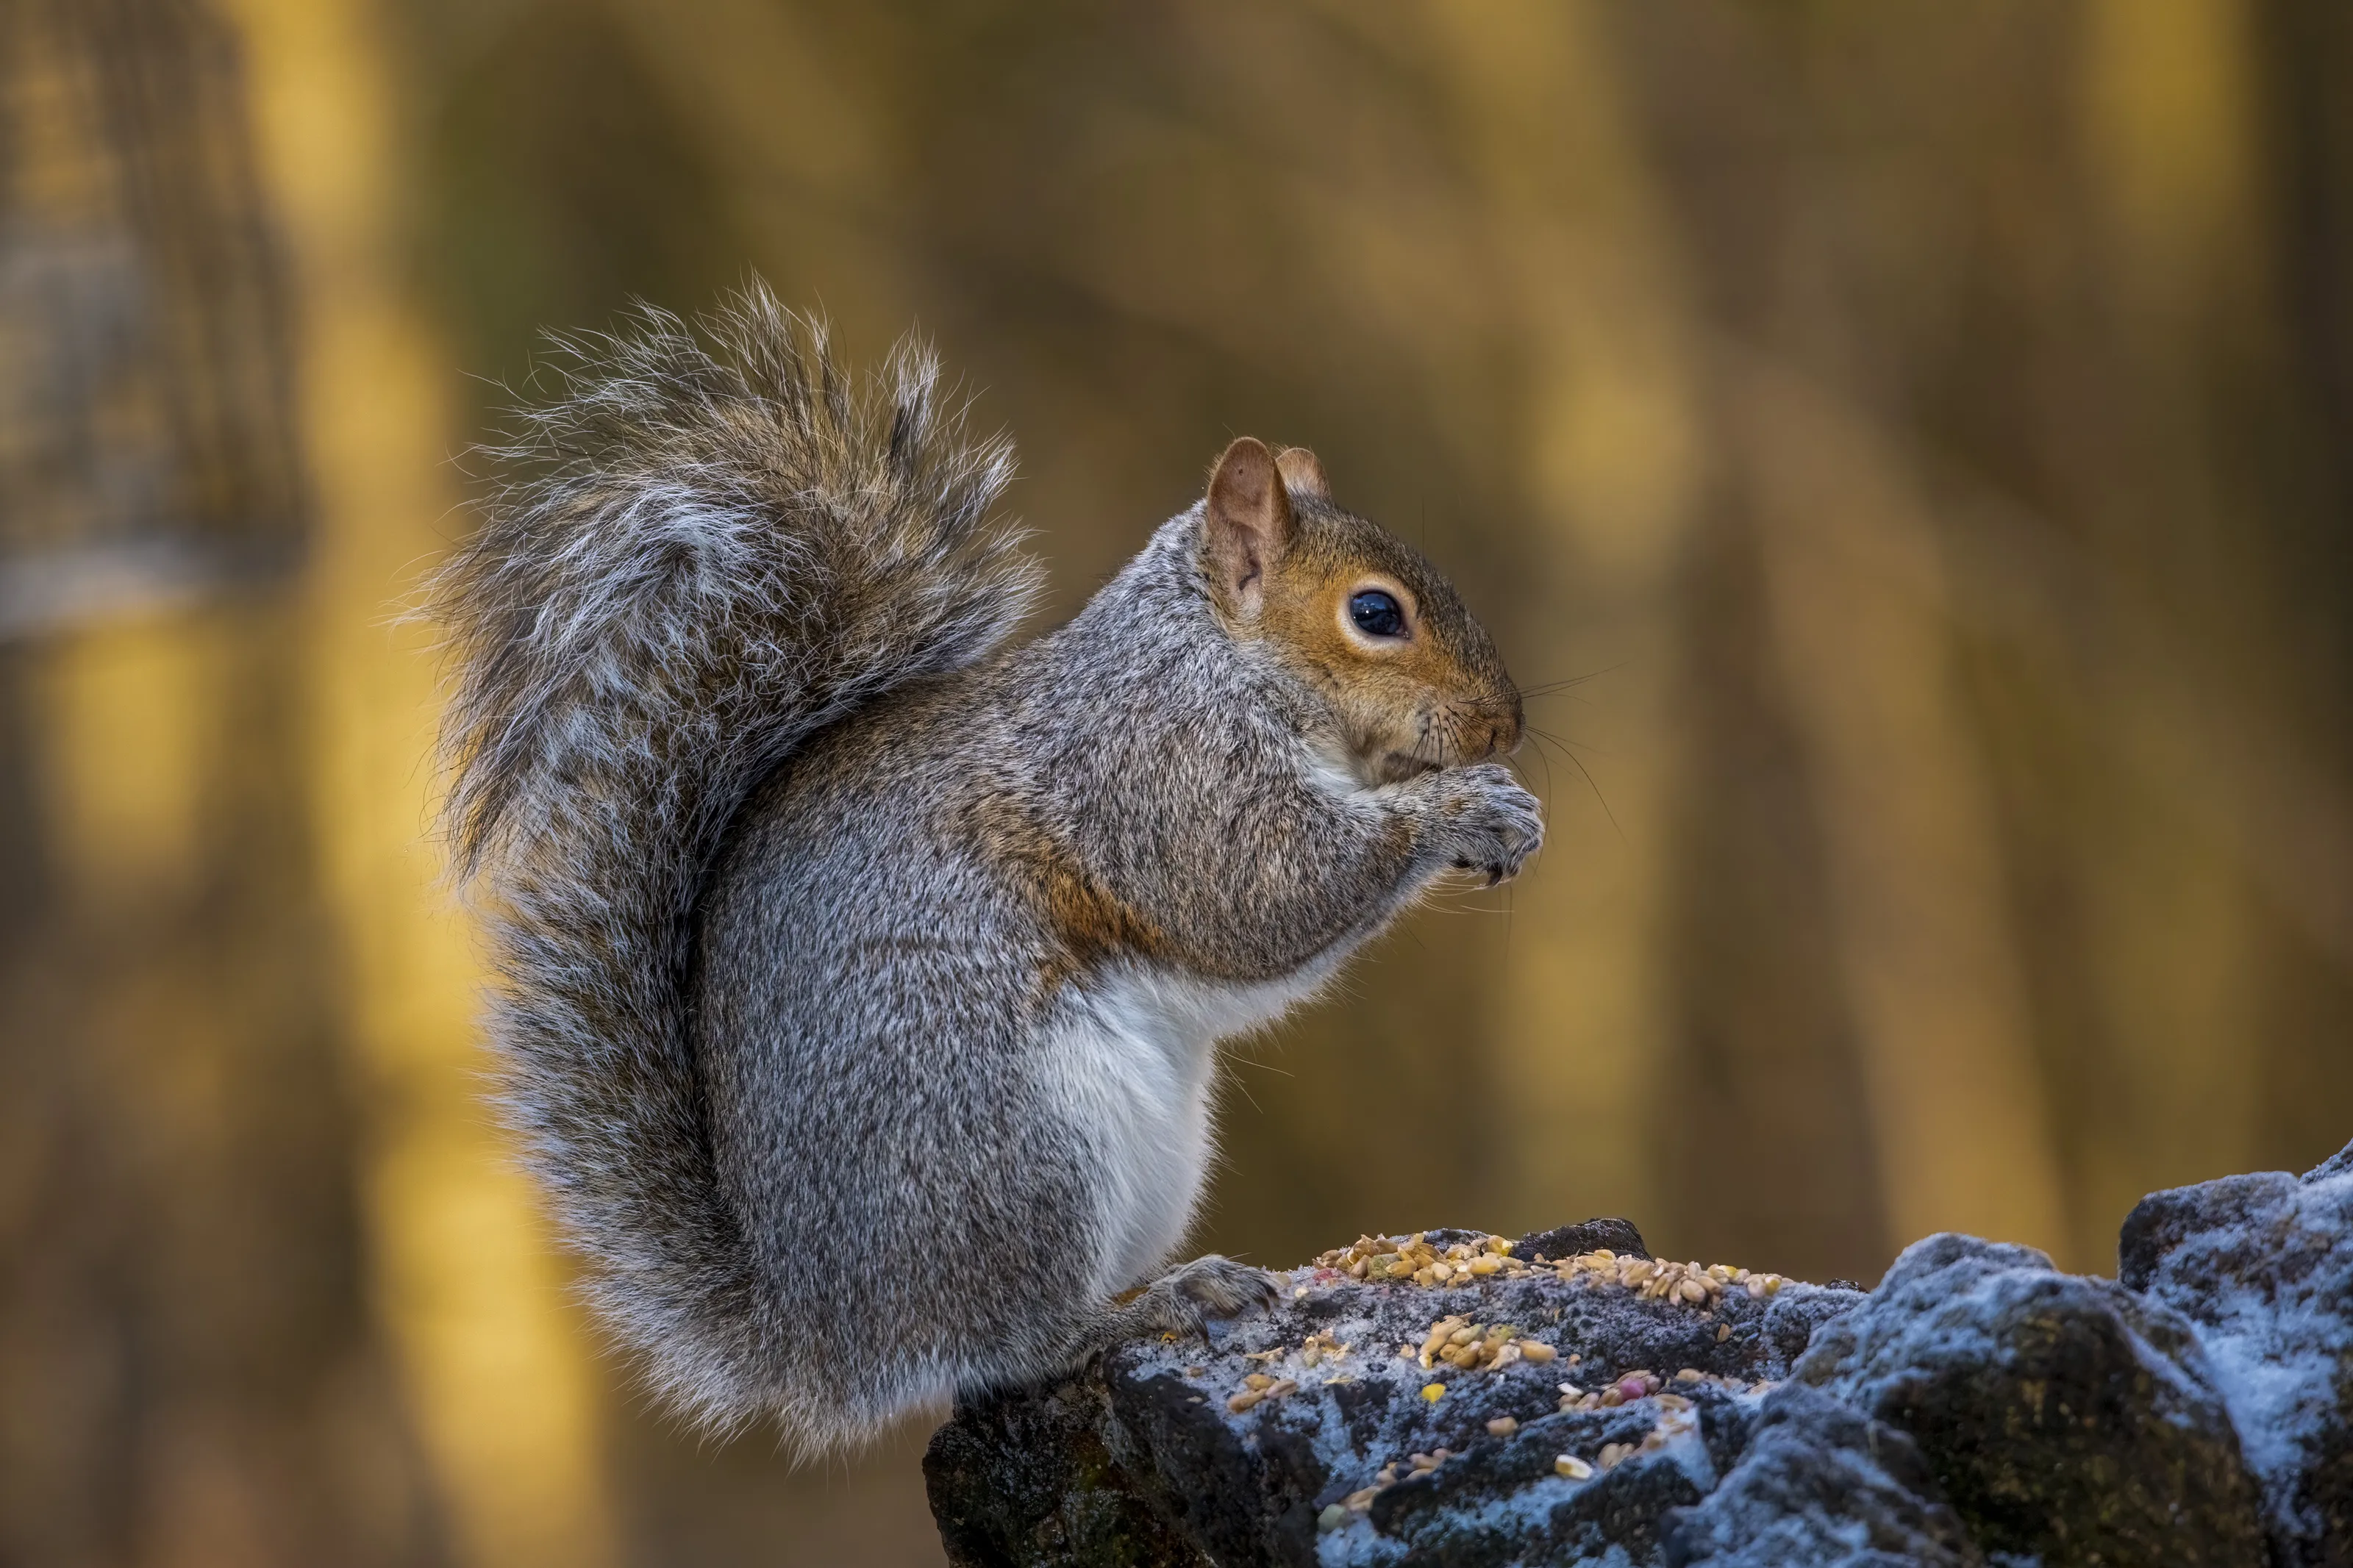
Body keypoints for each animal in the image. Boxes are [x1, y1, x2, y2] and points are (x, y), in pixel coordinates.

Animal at [431, 284, 1543, 1455]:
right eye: (1375, 614)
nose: (1505, 724)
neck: (1212, 656)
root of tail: (827, 1337)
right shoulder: (1155, 771)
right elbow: (1258, 889)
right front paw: (1464, 810)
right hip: (1012, 1146)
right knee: (1009, 1342)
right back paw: (1153, 1305)